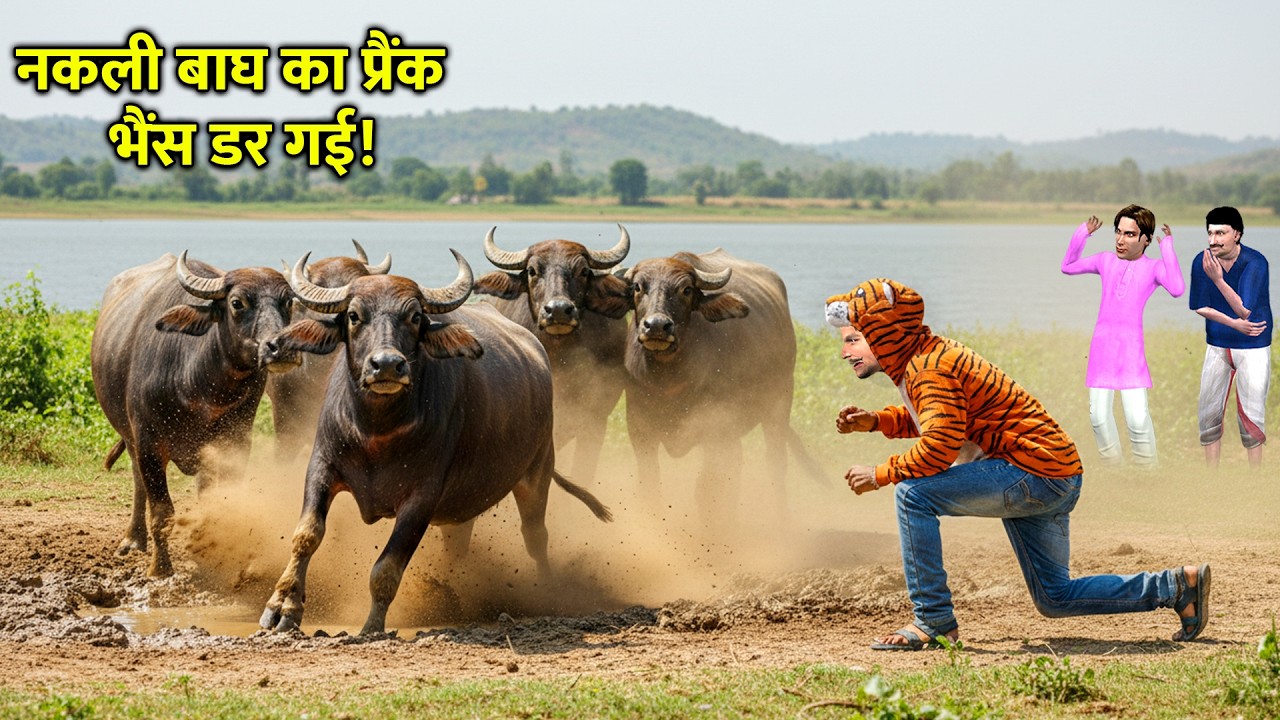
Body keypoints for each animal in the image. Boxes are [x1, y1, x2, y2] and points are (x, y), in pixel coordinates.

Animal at [92, 253, 298, 576]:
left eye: (288, 302)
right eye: (237, 302)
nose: (281, 347)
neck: (199, 387)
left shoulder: (235, 442)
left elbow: (223, 502)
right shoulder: (149, 443)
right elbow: (162, 511)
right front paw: (160, 568)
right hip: (130, 436)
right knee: (138, 483)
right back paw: (133, 540)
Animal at [622, 249, 822, 522]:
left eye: (686, 289)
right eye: (638, 287)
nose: (657, 326)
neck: (668, 377)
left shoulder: (715, 430)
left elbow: (708, 489)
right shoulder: (640, 430)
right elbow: (649, 485)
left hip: (779, 404)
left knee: (775, 464)